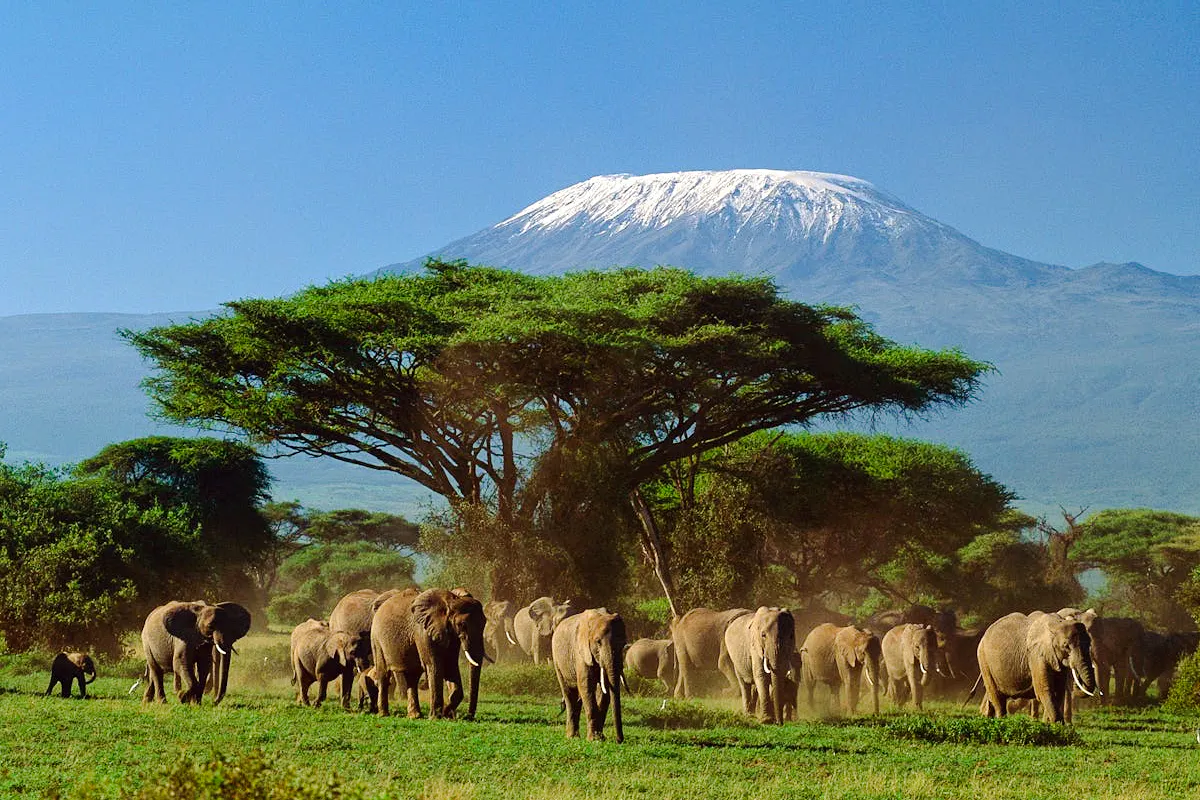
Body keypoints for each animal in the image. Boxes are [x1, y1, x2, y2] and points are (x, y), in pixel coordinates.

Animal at [371, 587, 487, 719]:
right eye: (461, 624)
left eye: (485, 623)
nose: (468, 717)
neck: (450, 601)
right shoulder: (423, 631)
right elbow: (434, 665)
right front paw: (436, 717)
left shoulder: (451, 635)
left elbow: (450, 666)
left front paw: (446, 713)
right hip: (376, 639)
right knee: (383, 674)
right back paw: (384, 714)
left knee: (412, 677)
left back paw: (415, 716)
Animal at [552, 607, 627, 743]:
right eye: (598, 642)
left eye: (623, 644)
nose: (619, 740)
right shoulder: (581, 652)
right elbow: (586, 686)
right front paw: (594, 739)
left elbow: (603, 690)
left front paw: (600, 738)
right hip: (557, 660)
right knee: (569, 694)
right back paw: (572, 737)